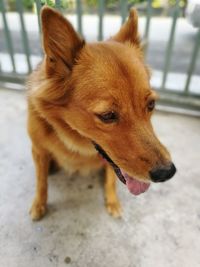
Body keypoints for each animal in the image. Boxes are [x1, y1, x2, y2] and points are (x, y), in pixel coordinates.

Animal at [27, 6, 176, 221]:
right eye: (107, 116)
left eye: (151, 104)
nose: (167, 173)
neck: (74, 142)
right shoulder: (38, 150)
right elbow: (41, 182)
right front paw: (39, 204)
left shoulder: (112, 165)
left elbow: (111, 180)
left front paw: (113, 202)